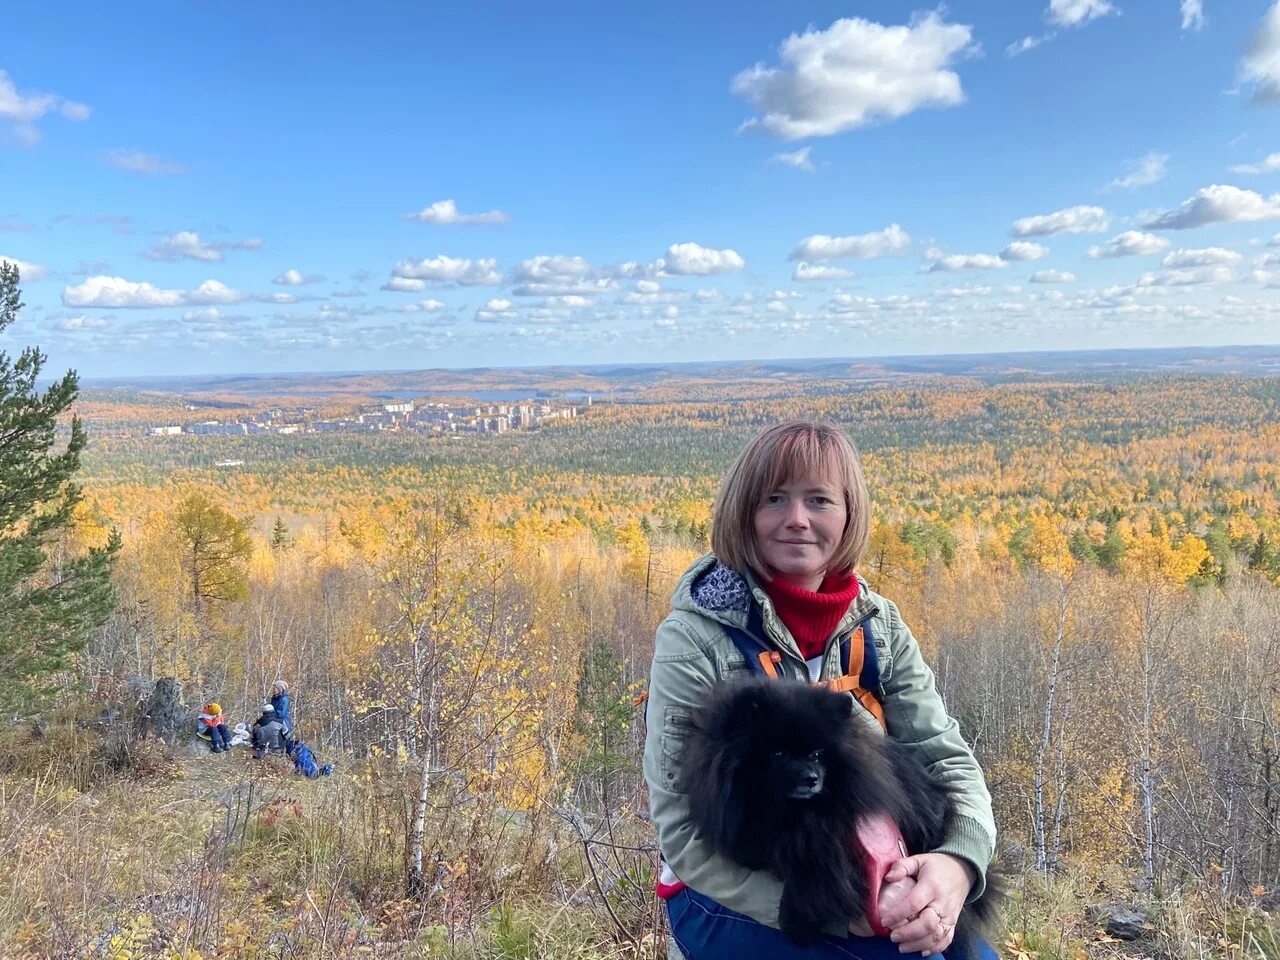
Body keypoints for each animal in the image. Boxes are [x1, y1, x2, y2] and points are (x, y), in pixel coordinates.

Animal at [680, 675, 998, 957]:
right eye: (779, 754)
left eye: (817, 754)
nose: (811, 778)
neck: (792, 812)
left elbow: (822, 870)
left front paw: (795, 914)